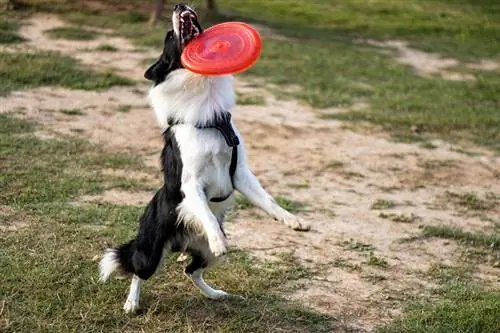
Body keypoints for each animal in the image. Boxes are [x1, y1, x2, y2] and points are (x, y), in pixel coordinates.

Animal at [98, 3, 308, 312]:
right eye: (168, 37)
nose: (179, 5)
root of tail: (181, 244)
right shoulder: (191, 182)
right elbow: (205, 213)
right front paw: (217, 237)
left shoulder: (240, 173)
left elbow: (267, 200)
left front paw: (293, 220)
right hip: (151, 251)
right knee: (138, 271)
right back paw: (131, 303)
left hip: (207, 255)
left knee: (191, 270)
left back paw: (214, 293)